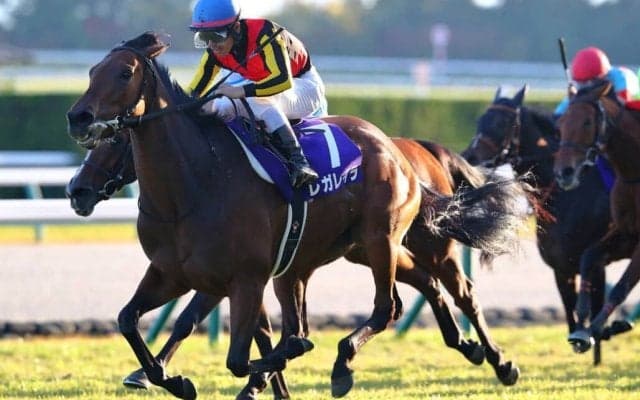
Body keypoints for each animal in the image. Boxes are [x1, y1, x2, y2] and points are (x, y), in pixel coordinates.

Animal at [66, 31, 526, 399]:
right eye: (91, 71)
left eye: (124, 73)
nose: (78, 118)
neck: (192, 187)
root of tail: (397, 149)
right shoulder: (174, 273)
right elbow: (131, 320)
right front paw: (167, 378)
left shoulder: (244, 278)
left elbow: (239, 351)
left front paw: (260, 375)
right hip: (354, 250)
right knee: (421, 286)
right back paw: (468, 347)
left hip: (387, 238)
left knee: (404, 303)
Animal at [554, 79, 640, 353]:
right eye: (560, 124)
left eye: (587, 122)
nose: (564, 172)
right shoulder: (625, 232)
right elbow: (588, 256)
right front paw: (582, 325)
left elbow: (621, 287)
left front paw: (596, 328)